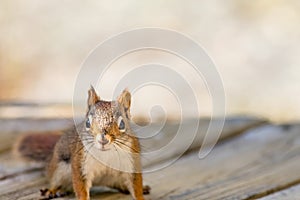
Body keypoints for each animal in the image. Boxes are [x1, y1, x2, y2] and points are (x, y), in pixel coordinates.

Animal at [14, 86, 150, 200]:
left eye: (122, 124)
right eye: (88, 123)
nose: (103, 139)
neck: (106, 153)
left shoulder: (131, 161)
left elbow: (136, 185)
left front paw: (140, 193)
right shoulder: (80, 163)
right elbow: (80, 186)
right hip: (58, 169)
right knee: (55, 180)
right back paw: (53, 190)